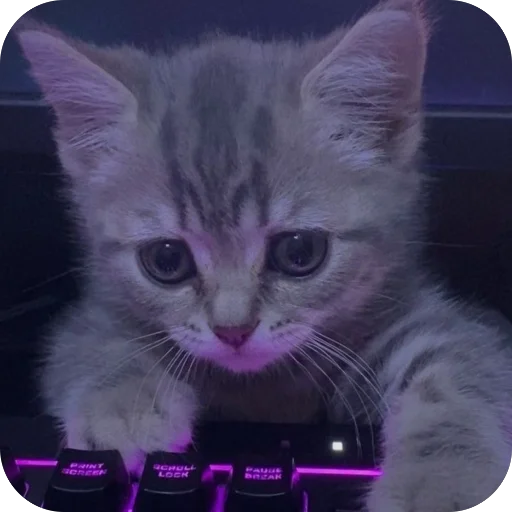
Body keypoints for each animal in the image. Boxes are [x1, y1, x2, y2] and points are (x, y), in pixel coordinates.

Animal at [14, 0, 512, 510]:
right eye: (167, 260)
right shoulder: (92, 313)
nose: (233, 330)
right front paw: (123, 404)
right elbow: (92, 341)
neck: (262, 393)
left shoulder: (417, 315)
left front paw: (439, 481)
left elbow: (455, 363)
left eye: (299, 251)